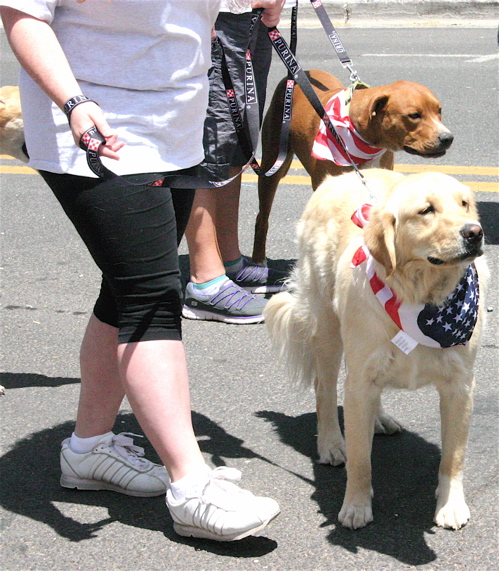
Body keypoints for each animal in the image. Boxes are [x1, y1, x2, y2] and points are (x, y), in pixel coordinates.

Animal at [252, 70, 456, 264]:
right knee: (262, 216)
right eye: (414, 115)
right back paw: (258, 260)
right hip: (272, 164)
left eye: (439, 111)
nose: (448, 138)